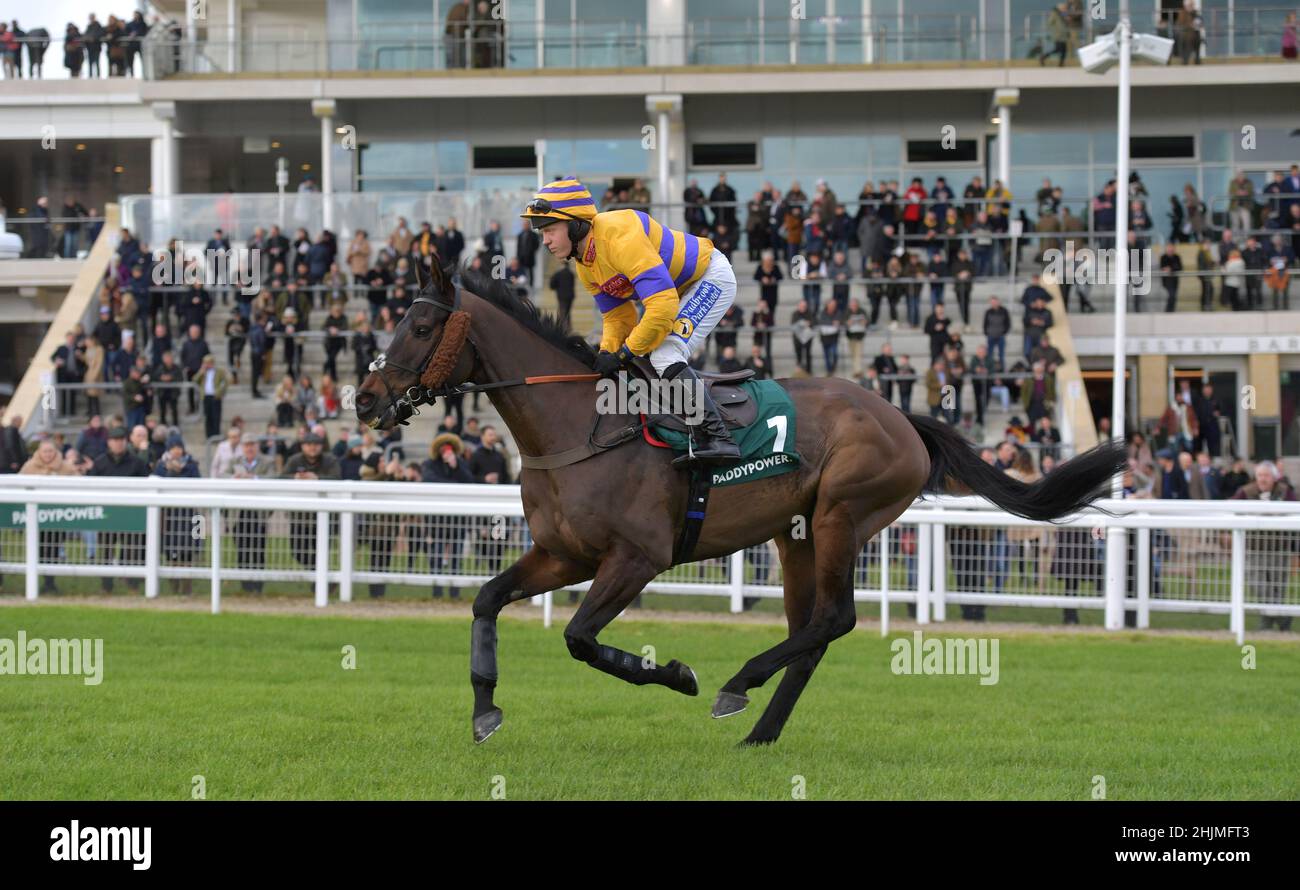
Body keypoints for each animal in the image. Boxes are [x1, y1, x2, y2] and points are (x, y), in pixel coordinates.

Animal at [356, 262, 1128, 743]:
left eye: (418, 328)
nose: (363, 399)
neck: (580, 426)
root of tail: (904, 419)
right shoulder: (562, 554)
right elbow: (486, 600)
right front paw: (485, 709)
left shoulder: (636, 558)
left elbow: (579, 638)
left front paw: (678, 674)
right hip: (796, 535)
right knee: (813, 632)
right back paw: (759, 730)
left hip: (841, 515)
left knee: (835, 619)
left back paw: (736, 684)